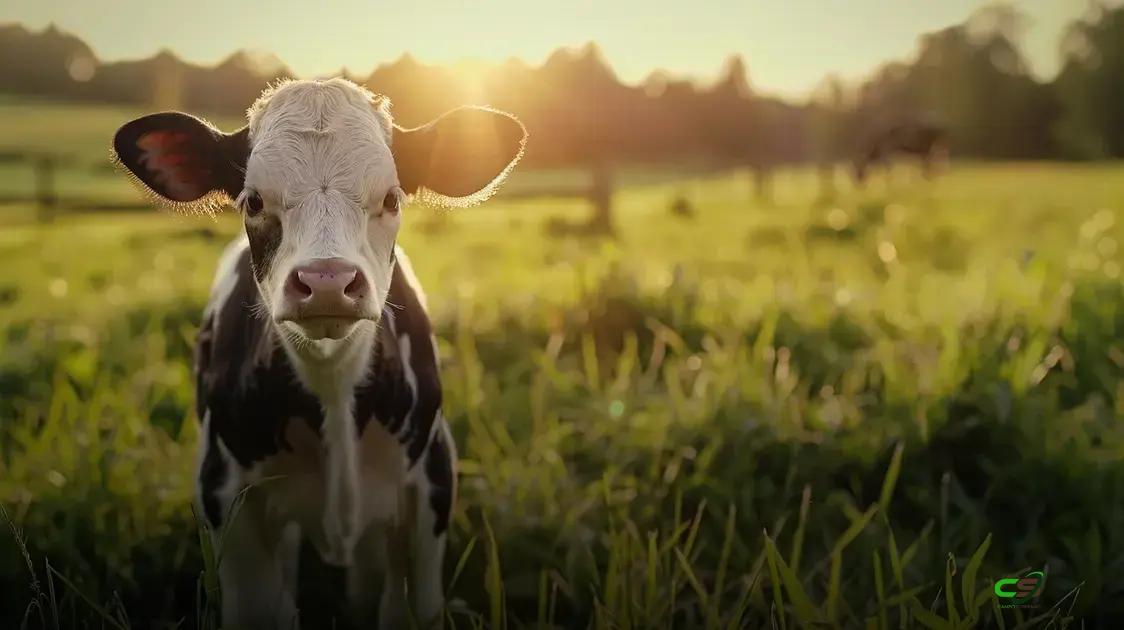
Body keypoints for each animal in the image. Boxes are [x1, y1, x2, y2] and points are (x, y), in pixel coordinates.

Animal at [111, 78, 526, 629]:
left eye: (392, 198)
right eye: (252, 201)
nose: (326, 281)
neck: (332, 388)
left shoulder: (432, 484)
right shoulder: (225, 494)